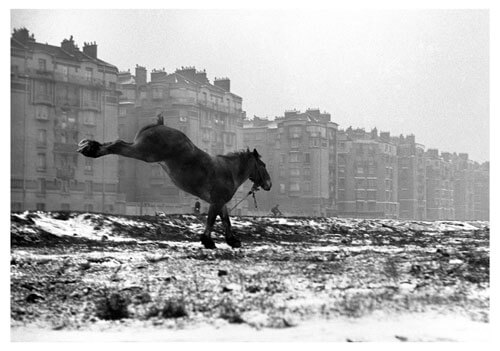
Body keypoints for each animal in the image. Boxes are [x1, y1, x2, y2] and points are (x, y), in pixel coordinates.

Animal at [77, 114, 272, 249]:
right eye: (262, 165)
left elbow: (225, 220)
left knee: (116, 143)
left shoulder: (220, 202)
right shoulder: (216, 201)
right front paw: (208, 241)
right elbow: (211, 220)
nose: (269, 184)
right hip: (143, 152)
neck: (228, 170)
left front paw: (232, 240)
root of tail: (159, 125)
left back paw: (90, 146)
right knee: (117, 144)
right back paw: (90, 149)